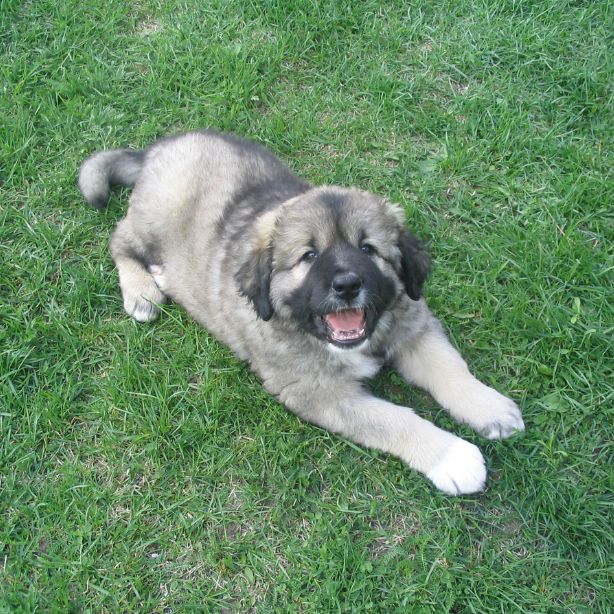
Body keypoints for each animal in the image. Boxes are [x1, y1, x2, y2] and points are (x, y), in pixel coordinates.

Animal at [79, 130, 528, 496]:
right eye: (309, 256)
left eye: (368, 248)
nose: (347, 285)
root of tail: (155, 150)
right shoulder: (318, 391)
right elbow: (393, 419)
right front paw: (454, 456)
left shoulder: (412, 324)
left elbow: (450, 368)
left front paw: (489, 407)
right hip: (154, 219)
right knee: (119, 238)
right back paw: (143, 290)